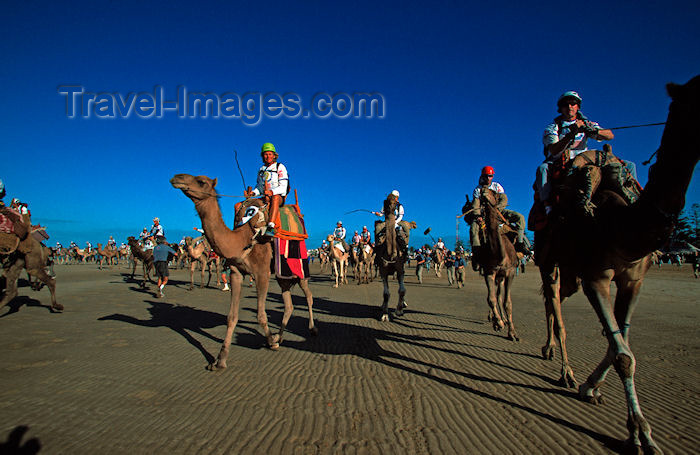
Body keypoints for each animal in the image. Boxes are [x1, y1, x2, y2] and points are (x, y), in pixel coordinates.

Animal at [171, 175, 318, 370]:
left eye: (201, 182)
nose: (177, 178)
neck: (241, 239)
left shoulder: (262, 273)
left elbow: (261, 315)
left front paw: (270, 342)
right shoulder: (236, 273)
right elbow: (231, 317)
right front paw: (220, 360)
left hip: (299, 266)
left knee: (308, 295)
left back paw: (311, 329)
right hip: (282, 275)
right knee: (289, 305)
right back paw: (280, 337)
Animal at [532, 75, 696, 452]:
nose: (574, 113)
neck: (623, 224)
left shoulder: (634, 280)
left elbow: (620, 339)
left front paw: (592, 388)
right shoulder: (596, 277)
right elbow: (622, 353)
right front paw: (641, 433)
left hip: (569, 273)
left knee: (554, 303)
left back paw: (551, 353)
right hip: (548, 260)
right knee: (553, 304)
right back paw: (565, 370)